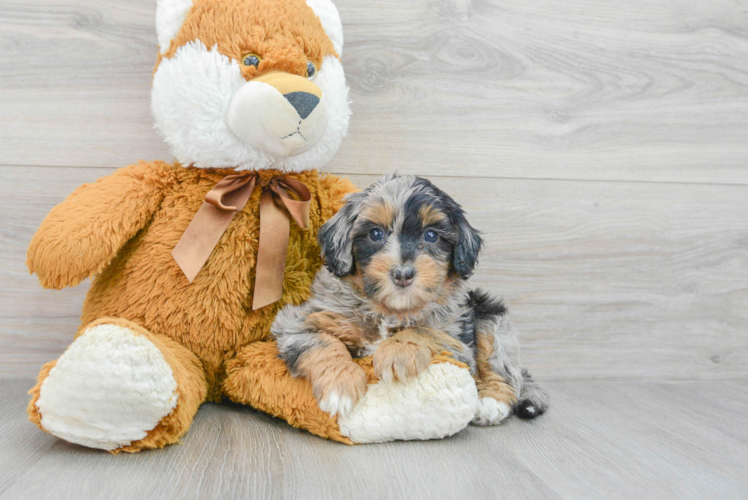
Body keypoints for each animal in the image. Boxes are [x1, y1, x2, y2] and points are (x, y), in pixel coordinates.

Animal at [272, 174, 548, 424]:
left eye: (431, 235)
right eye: (375, 233)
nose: (403, 273)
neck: (390, 310)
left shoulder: (456, 341)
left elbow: (423, 330)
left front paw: (397, 353)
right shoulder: (298, 321)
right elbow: (324, 343)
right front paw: (339, 386)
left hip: (490, 315)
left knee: (501, 365)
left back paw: (492, 402)